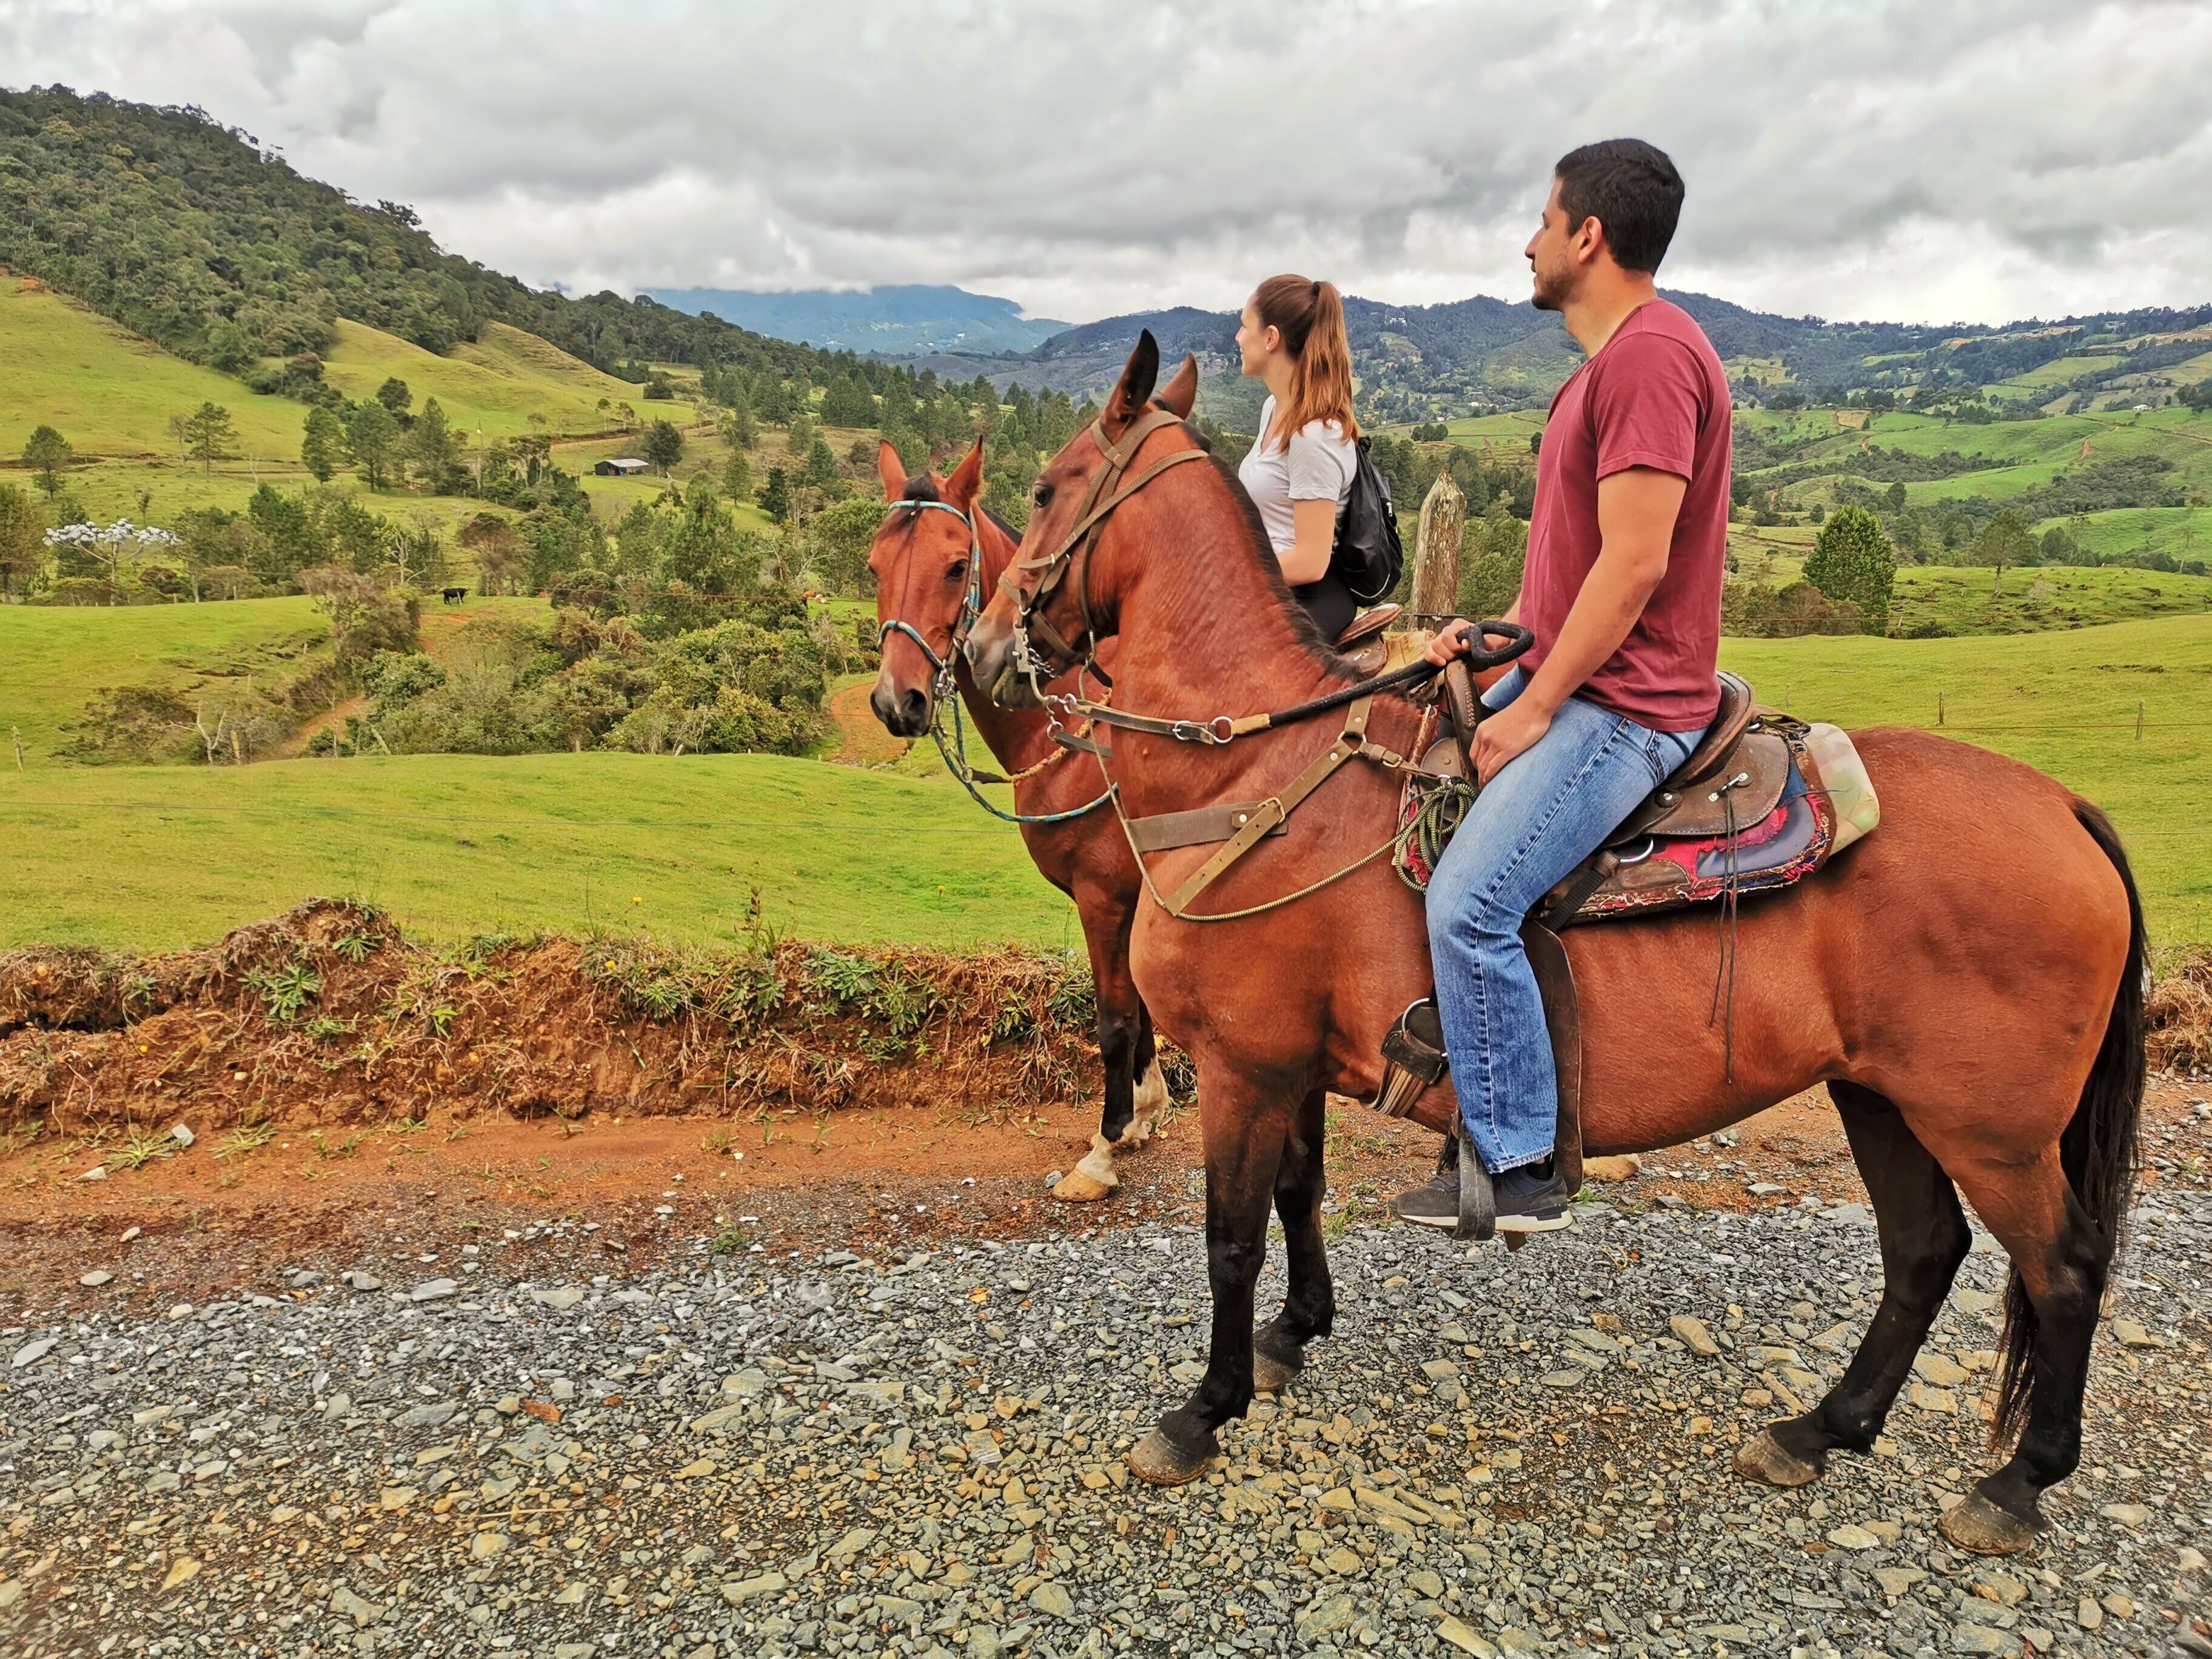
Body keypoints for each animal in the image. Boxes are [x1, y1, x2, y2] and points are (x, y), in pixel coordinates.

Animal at [862, 429, 1194, 1194]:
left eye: (956, 567)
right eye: (873, 567)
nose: (899, 701)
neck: (1081, 727)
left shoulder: (1104, 895)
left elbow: (1115, 1019)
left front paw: (1106, 1146)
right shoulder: (1130, 899)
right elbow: (1138, 1007)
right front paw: (1144, 1114)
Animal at [968, 333, 2141, 1557]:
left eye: (1044, 491)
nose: (981, 648)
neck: (1255, 775)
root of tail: (2066, 809)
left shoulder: (1245, 1065)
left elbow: (1230, 1236)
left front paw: (1205, 1407)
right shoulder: (1285, 1064)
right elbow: (1298, 1194)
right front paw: (1294, 1335)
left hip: (1990, 1130)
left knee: (2062, 1270)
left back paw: (2017, 1481)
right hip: (1882, 1096)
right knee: (1923, 1252)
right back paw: (1822, 1428)